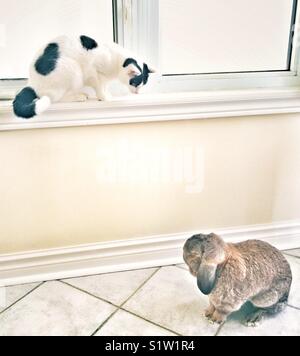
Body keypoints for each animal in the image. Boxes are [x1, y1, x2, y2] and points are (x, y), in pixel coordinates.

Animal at [12, 36, 155, 119]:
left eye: (143, 85)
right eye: (135, 84)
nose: (138, 93)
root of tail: (31, 83)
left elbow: (104, 85)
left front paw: (105, 94)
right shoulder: (94, 70)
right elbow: (99, 86)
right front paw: (104, 97)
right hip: (73, 69)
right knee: (56, 98)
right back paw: (78, 97)